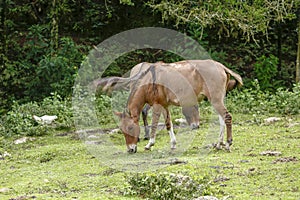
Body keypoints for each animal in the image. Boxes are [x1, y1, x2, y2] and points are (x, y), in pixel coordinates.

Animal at [115, 59, 244, 153]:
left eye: (130, 128)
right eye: (121, 129)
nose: (130, 149)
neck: (150, 80)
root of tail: (221, 66)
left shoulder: (157, 105)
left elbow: (154, 124)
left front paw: (149, 144)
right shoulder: (164, 105)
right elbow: (168, 124)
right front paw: (173, 144)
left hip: (216, 100)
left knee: (227, 117)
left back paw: (228, 143)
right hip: (217, 100)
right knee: (222, 120)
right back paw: (218, 144)